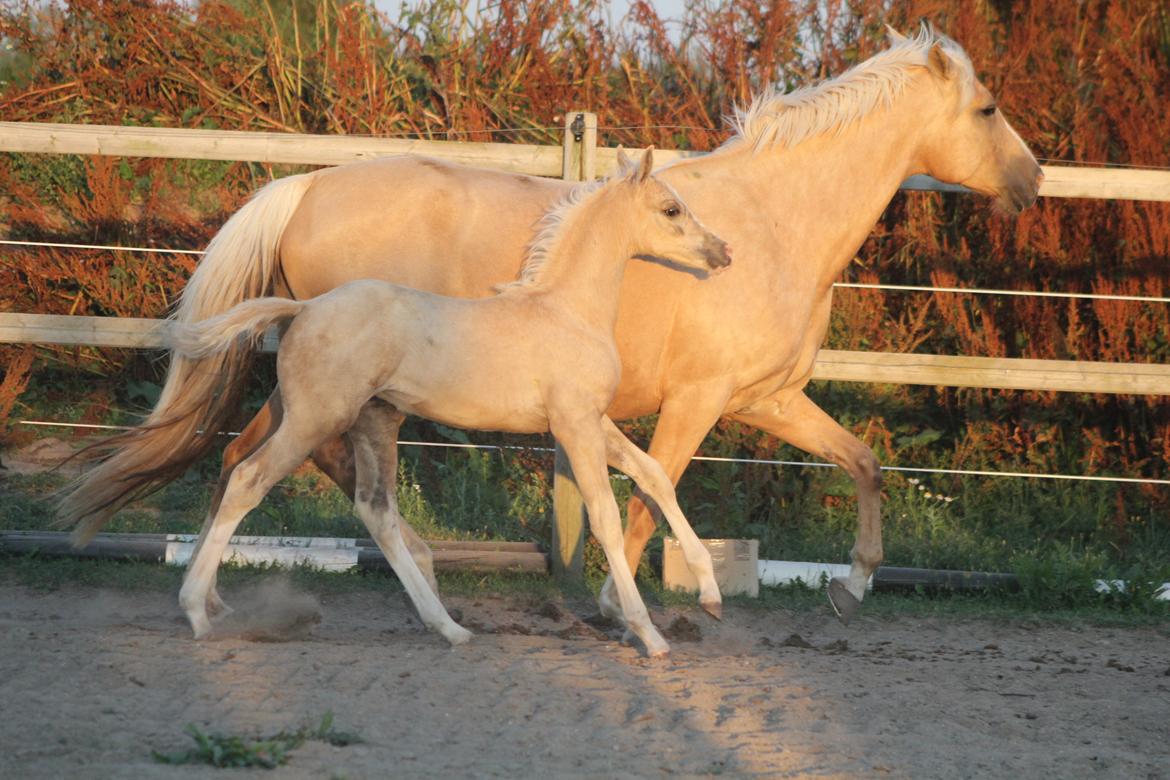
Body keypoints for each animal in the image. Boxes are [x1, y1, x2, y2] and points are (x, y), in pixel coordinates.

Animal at [170, 149, 730, 654]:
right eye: (671, 209)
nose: (722, 252)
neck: (565, 310)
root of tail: (303, 308)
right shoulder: (574, 424)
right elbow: (606, 518)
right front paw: (648, 632)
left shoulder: (591, 421)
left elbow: (654, 475)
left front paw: (710, 592)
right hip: (316, 418)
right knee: (249, 479)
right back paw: (196, 610)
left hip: (367, 420)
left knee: (374, 509)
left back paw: (449, 627)